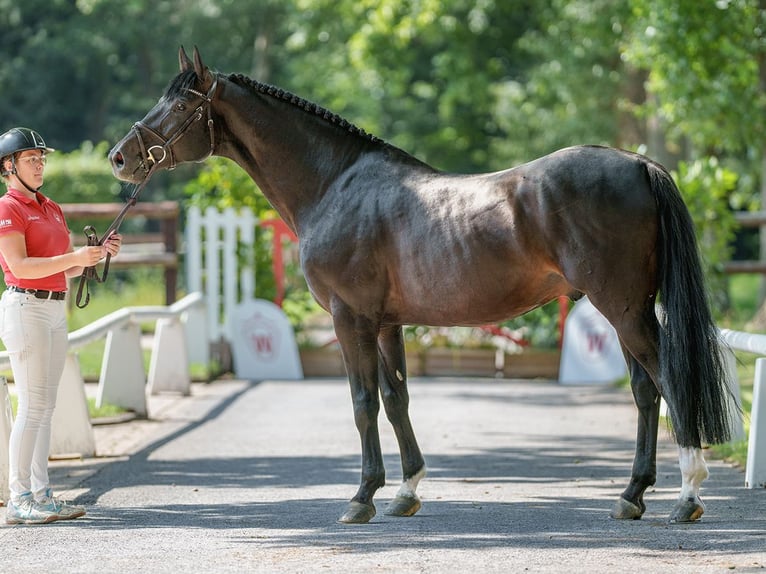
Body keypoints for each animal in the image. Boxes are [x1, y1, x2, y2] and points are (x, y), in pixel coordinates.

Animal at [111, 48, 736, 528]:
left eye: (182, 104)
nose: (120, 157)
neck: (335, 185)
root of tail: (636, 163)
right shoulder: (386, 322)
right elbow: (396, 400)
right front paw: (406, 493)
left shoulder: (350, 318)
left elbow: (362, 403)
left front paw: (361, 497)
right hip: (625, 310)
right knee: (645, 391)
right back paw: (631, 497)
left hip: (623, 307)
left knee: (668, 380)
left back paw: (687, 496)